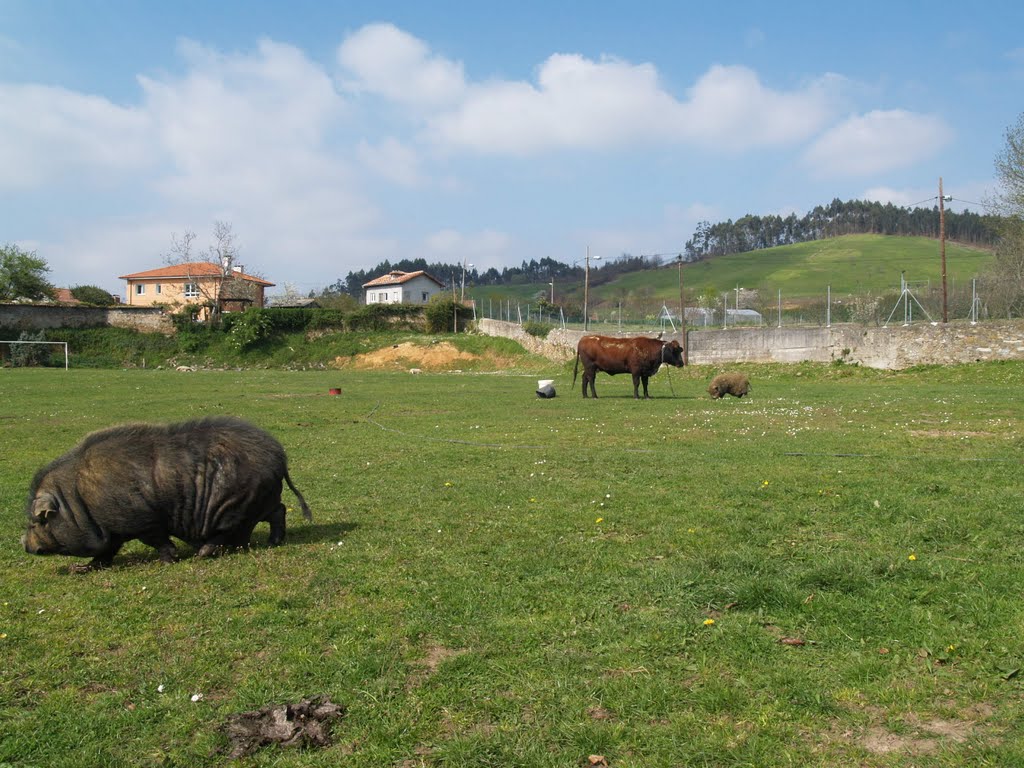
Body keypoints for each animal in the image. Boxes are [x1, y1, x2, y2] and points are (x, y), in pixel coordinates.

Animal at [22, 415, 309, 573]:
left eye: (38, 521)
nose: (23, 542)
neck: (80, 501)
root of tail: (278, 456)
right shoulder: (114, 530)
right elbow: (105, 554)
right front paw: (79, 569)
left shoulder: (141, 520)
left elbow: (157, 540)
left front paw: (168, 561)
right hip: (259, 500)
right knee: (276, 511)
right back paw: (272, 542)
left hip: (236, 504)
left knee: (234, 531)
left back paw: (203, 552)